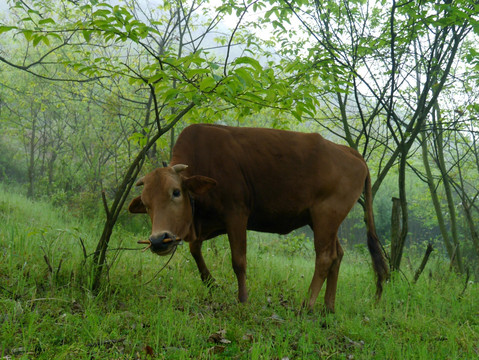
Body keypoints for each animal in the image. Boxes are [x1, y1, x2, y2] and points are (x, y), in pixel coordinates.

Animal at [128, 124, 390, 312]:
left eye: (176, 192)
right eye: (147, 204)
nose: (158, 240)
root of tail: (348, 151)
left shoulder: (236, 214)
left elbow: (238, 261)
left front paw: (242, 299)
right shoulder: (205, 223)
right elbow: (195, 249)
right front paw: (210, 282)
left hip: (326, 216)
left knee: (325, 257)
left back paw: (306, 305)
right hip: (321, 221)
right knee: (338, 255)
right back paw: (328, 307)